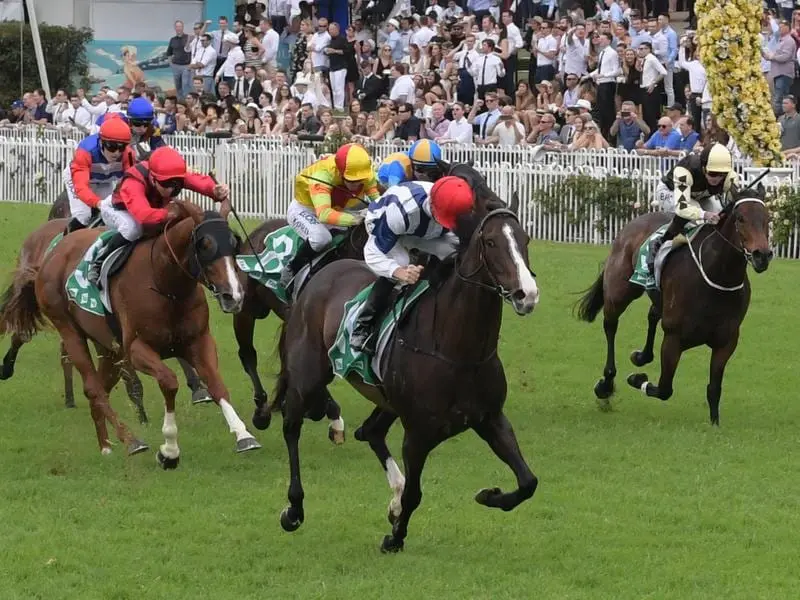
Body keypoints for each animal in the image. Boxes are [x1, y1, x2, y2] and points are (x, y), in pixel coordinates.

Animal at [266, 163, 540, 552]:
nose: (526, 294)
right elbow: (415, 494)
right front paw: (395, 538)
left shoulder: (491, 419)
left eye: (524, 240)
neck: (458, 350)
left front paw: (489, 495)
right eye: (491, 242)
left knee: (369, 431)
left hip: (386, 399)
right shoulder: (418, 433)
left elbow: (528, 482)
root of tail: (320, 275)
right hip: (308, 373)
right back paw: (294, 508)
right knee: (292, 427)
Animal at [580, 185, 772, 424]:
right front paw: (636, 379)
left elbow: (714, 389)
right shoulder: (673, 338)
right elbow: (664, 389)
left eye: (768, 218)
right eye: (740, 218)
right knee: (610, 325)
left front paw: (715, 424)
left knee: (653, 314)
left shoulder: (726, 342)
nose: (762, 255)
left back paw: (642, 356)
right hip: (619, 291)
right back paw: (606, 384)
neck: (717, 275)